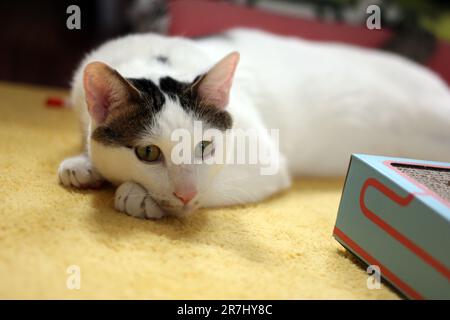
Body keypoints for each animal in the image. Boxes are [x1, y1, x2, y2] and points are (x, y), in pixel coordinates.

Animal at [58, 28, 450, 219]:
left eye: (206, 146)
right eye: (148, 153)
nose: (186, 194)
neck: (153, 59)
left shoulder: (264, 162)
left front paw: (134, 194)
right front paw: (83, 163)